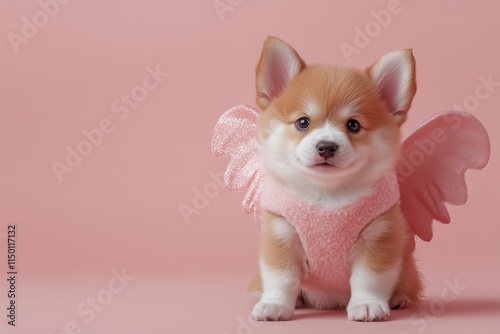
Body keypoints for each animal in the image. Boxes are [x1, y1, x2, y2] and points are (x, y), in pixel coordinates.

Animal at [250, 36, 422, 320]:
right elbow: (281, 278)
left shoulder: (378, 236)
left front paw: (367, 304)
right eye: (303, 122)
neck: (327, 197)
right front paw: (275, 304)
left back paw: (399, 298)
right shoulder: (282, 235)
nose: (326, 146)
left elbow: (369, 278)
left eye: (353, 125)